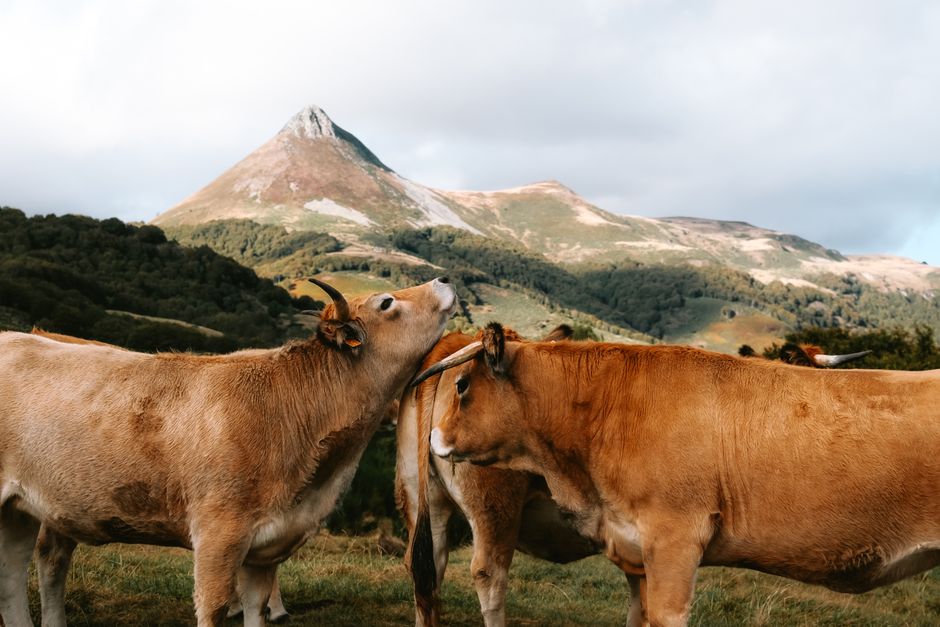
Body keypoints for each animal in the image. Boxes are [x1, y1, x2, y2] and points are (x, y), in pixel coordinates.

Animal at [0, 277, 456, 627]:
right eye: (387, 302)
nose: (445, 279)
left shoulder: (266, 544)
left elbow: (256, 607)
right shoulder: (219, 534)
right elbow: (215, 607)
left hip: (24, 508)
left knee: (20, 571)